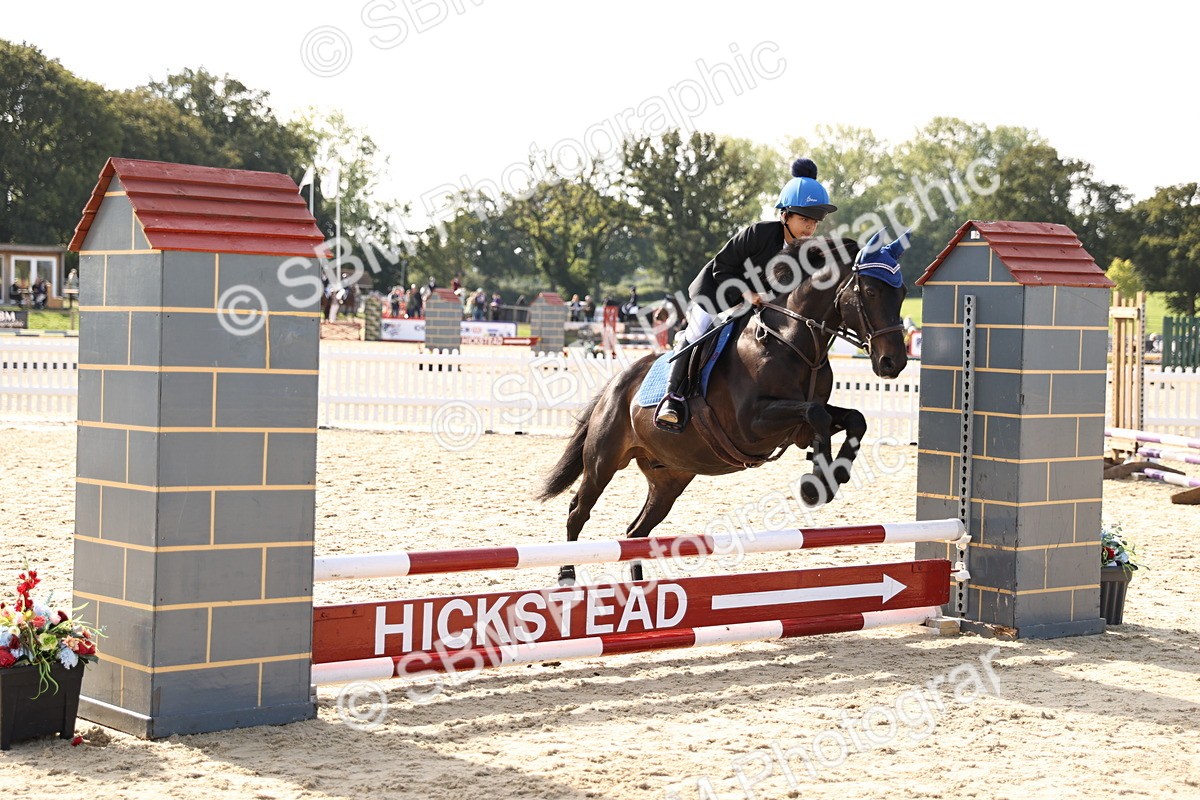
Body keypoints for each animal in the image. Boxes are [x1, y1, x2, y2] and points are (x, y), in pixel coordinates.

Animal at [538, 231, 911, 584]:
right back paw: (567, 574)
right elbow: (816, 415)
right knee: (578, 511)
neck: (792, 340)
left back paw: (639, 590)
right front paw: (814, 484)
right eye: (870, 291)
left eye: (903, 292)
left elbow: (854, 419)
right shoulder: (751, 425)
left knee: (636, 532)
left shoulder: (800, 421)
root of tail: (616, 383)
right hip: (603, 461)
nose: (893, 362)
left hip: (669, 477)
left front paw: (836, 473)